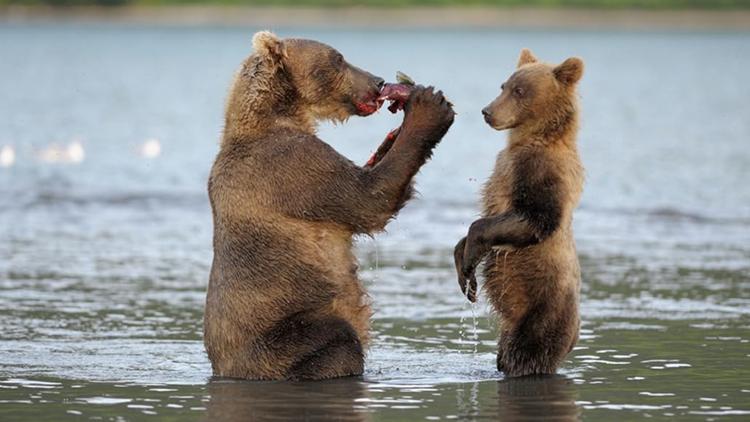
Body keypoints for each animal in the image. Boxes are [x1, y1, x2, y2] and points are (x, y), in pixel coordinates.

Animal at [203, 32, 456, 382]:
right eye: (338, 58)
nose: (378, 82)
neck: (276, 114)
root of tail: (226, 369)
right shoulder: (293, 168)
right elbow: (367, 199)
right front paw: (428, 108)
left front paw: (391, 137)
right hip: (282, 333)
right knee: (337, 338)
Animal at [452, 48, 588, 376]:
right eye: (504, 85)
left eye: (520, 91)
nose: (487, 111)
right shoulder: (506, 168)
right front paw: (465, 273)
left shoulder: (542, 173)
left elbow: (535, 219)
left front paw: (471, 255)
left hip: (541, 313)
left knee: (525, 354)